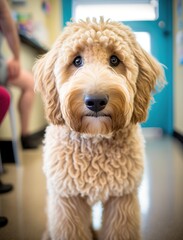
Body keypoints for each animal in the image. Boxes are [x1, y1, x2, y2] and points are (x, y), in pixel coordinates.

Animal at [33, 17, 166, 240]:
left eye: (114, 60)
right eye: (77, 61)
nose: (95, 101)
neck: (95, 139)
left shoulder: (122, 197)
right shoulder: (67, 198)